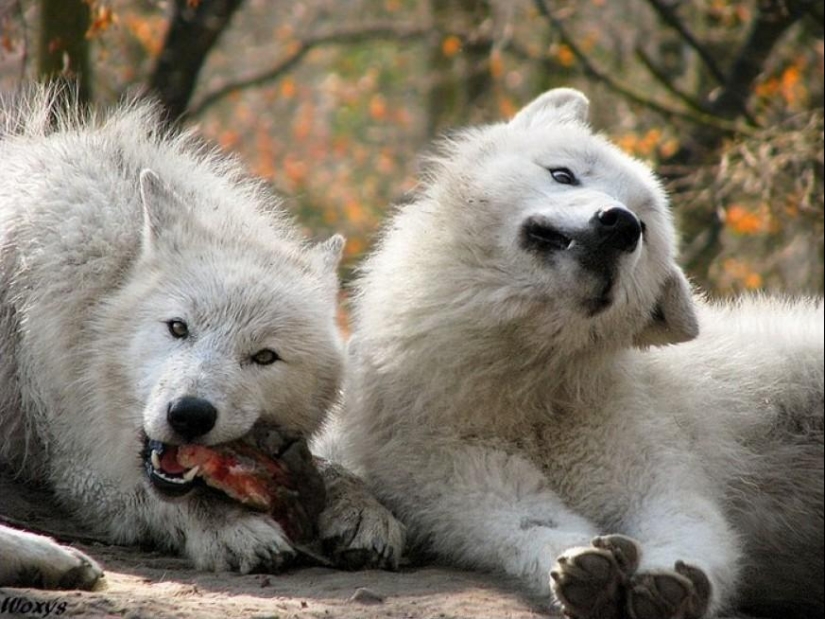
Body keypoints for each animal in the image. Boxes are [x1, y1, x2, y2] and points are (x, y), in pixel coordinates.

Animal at [0, 88, 402, 592]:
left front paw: (365, 511)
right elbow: (189, 499)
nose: (190, 414)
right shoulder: (86, 467)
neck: (101, 295)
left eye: (264, 357)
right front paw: (231, 528)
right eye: (178, 328)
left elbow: (332, 468)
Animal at [318, 88, 824, 619]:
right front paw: (589, 569)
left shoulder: (630, 422)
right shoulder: (441, 440)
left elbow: (676, 506)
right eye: (563, 173)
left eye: (646, 226)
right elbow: (511, 511)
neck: (528, 380)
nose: (619, 224)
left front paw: (669, 584)